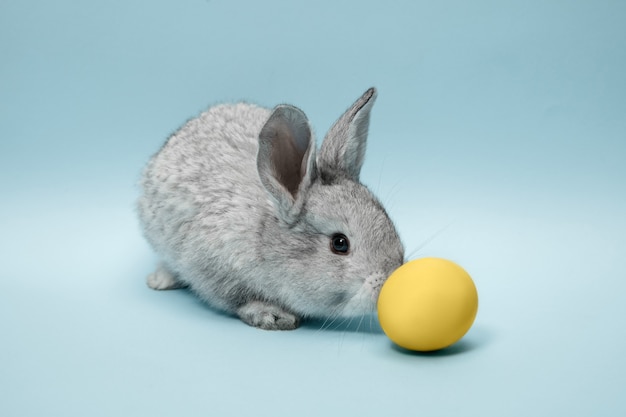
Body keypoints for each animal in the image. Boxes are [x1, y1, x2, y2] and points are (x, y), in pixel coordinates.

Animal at [136, 87, 404, 328]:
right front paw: (272, 315)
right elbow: (238, 300)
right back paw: (160, 280)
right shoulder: (213, 270)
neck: (264, 237)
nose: (389, 280)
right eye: (339, 243)